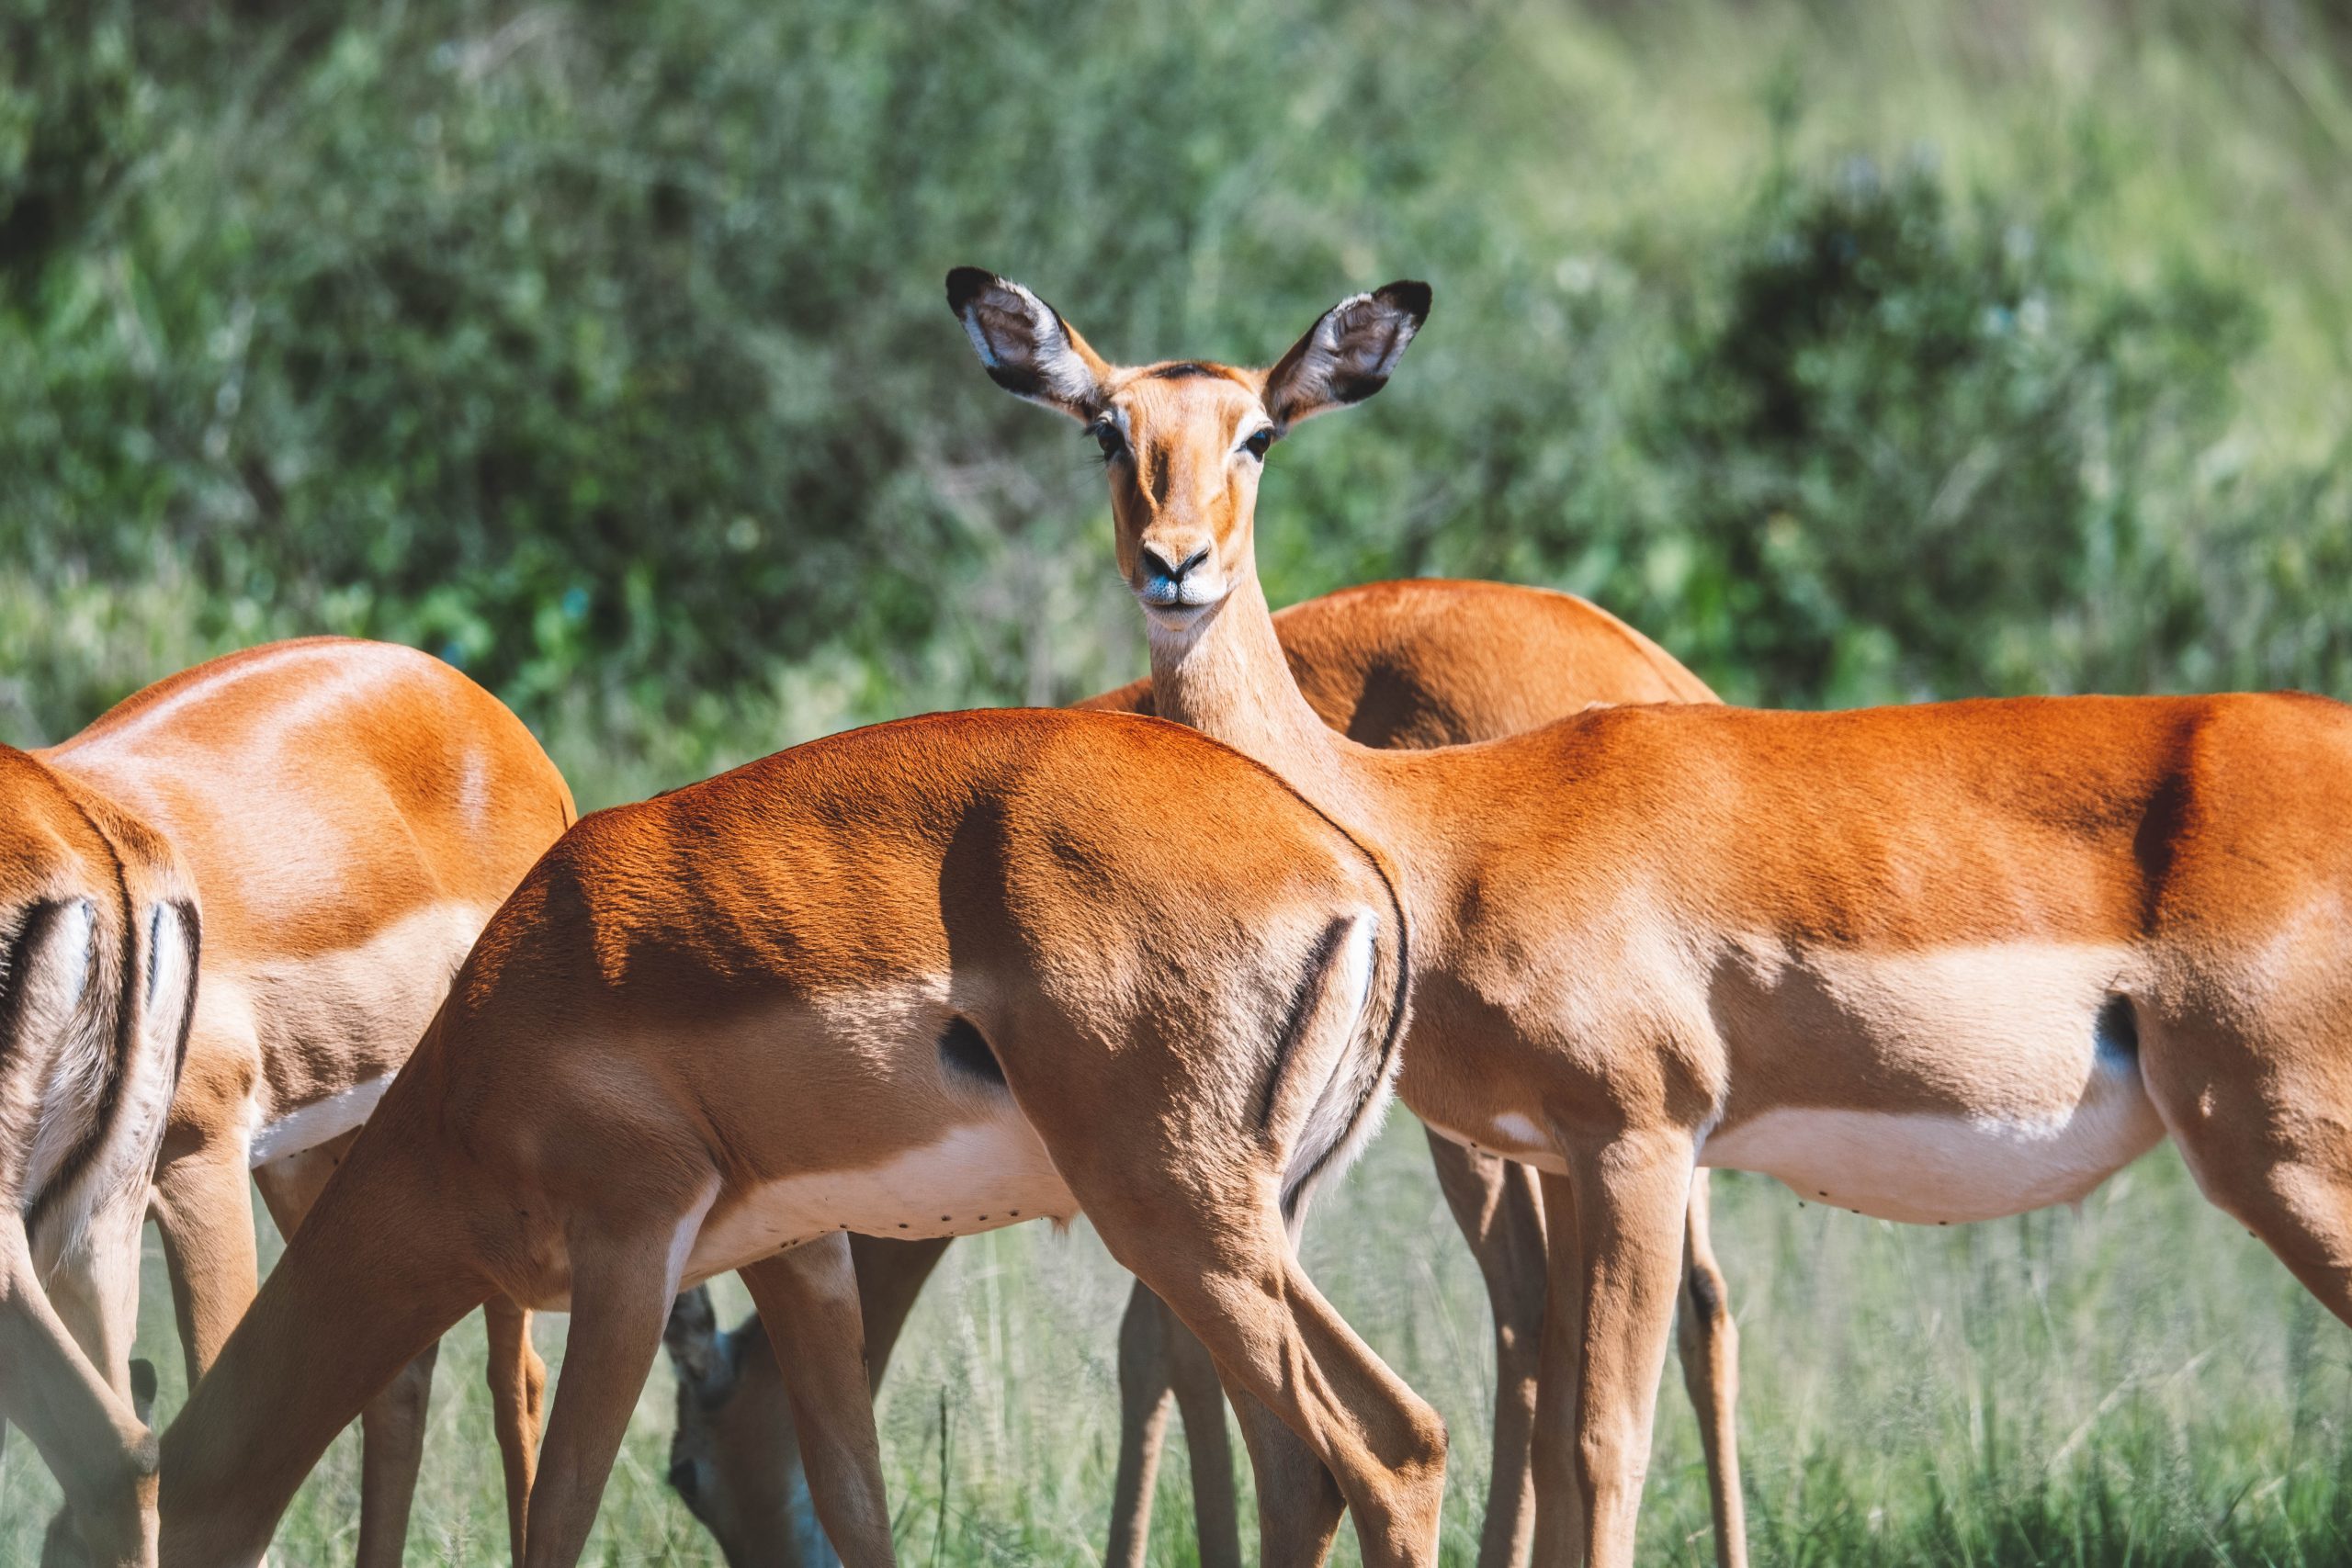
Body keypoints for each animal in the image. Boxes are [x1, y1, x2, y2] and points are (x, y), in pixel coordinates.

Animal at [158, 705, 1448, 1568]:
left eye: (685, 1472)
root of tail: (1350, 867)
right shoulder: (802, 1253)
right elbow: (855, 1502)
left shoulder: (630, 1253)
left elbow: (561, 1508)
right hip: (1238, 1225)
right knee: (1315, 1463)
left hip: (1173, 1213)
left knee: (1385, 1446)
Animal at [949, 267, 2352, 1566]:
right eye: (1107, 429)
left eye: (1258, 432)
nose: (1174, 566)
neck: (1443, 825)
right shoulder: (1568, 1153)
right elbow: (1563, 1435)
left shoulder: (1642, 1138)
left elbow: (1602, 1439)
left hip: (2285, 1155)